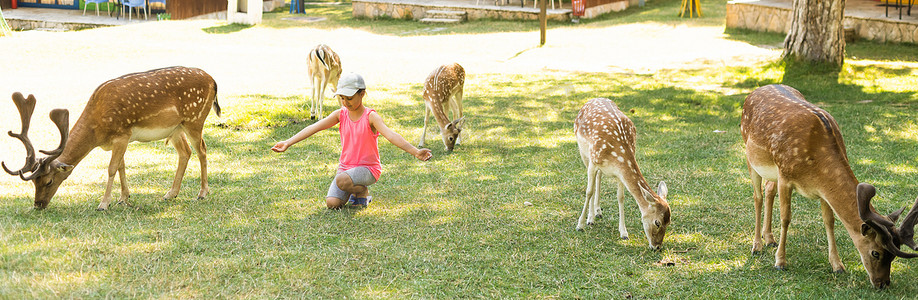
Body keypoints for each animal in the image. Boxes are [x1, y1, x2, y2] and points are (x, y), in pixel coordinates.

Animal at [3, 66, 221, 211]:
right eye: (34, 182)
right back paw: (170, 194)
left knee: (202, 150)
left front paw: (103, 203)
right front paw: (124, 198)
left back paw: (202, 193)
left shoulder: (122, 134)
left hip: (194, 119)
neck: (97, 131)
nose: (38, 204)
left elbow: (111, 168)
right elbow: (121, 167)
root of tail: (213, 81)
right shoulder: (120, 139)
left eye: (48, 181)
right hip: (176, 129)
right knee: (185, 152)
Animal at [576, 97, 676, 250]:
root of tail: (593, 99)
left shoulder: (620, 173)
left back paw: (598, 212)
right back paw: (591, 218)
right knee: (593, 183)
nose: (657, 247)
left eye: (669, 222)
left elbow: (621, 197)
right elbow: (588, 191)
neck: (617, 154)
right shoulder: (593, 161)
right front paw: (580, 224)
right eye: (657, 222)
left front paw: (624, 233)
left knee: (599, 177)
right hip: (584, 153)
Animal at [740, 84, 918, 288]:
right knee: (758, 197)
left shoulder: (823, 189)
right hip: (750, 155)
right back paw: (757, 246)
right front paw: (780, 262)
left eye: (893, 257)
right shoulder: (785, 176)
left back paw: (769, 239)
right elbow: (786, 218)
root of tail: (756, 90)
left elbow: (829, 221)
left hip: (772, 171)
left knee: (769, 189)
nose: (883, 283)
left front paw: (837, 265)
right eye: (876, 252)